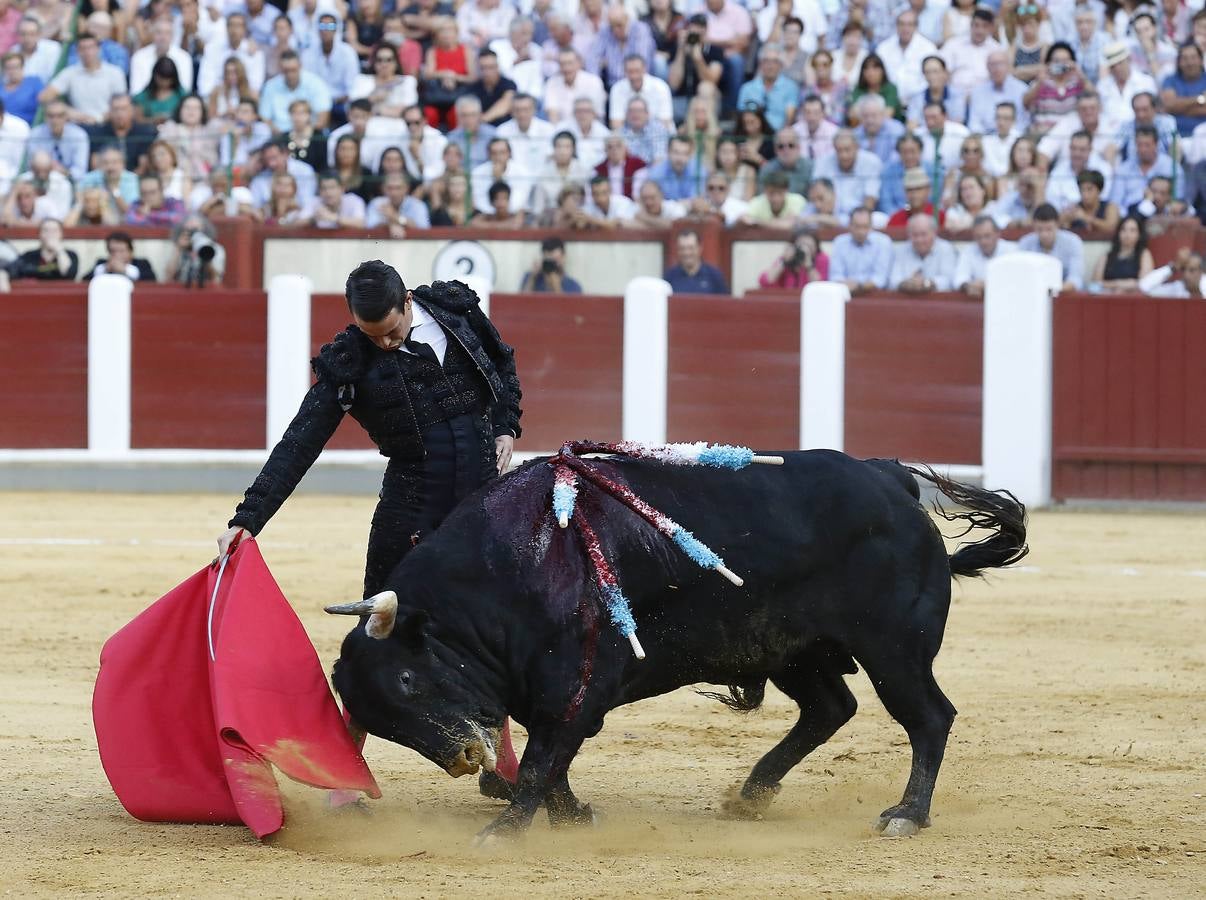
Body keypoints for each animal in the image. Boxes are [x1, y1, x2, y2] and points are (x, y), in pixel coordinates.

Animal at [330, 451, 1027, 839]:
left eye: (407, 680)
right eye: (382, 722)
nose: (463, 758)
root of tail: (891, 482)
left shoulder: (575, 692)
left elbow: (540, 763)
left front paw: (504, 832)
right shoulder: (553, 698)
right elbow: (551, 766)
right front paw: (573, 817)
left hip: (894, 651)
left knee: (928, 717)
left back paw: (905, 814)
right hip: (788, 647)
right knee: (831, 708)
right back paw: (750, 794)